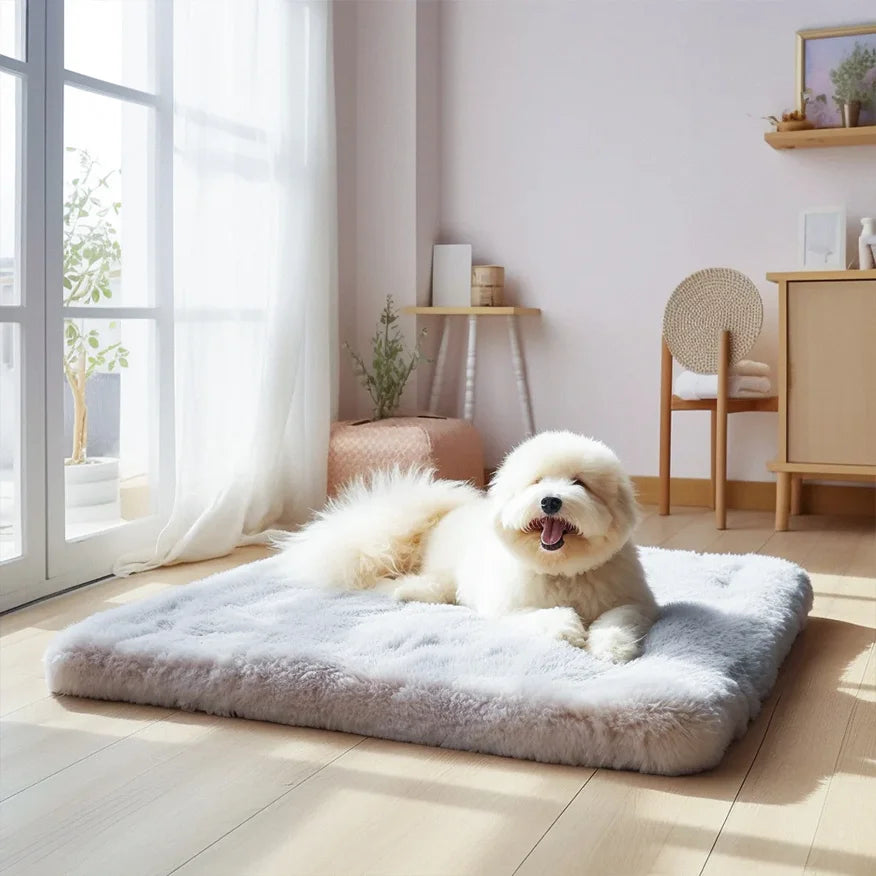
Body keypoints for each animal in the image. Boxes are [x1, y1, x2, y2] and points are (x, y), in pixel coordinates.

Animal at [280, 432, 656, 664]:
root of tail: (440, 515)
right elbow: (543, 615)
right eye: (535, 483)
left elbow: (616, 620)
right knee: (424, 582)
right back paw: (408, 589)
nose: (550, 500)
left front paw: (612, 648)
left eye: (579, 483)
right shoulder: (507, 606)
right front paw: (567, 628)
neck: (562, 570)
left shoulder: (633, 601)